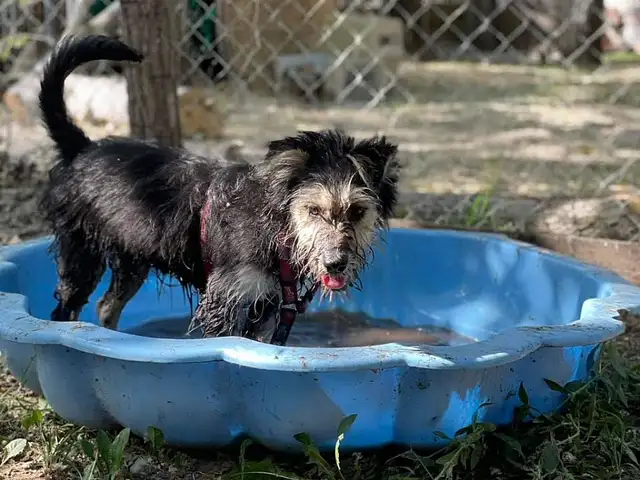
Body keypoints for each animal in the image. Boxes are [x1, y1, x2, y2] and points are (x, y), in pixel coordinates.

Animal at [37, 35, 400, 344]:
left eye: (358, 211)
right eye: (313, 210)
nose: (335, 263)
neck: (274, 225)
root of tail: (83, 148)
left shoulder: (265, 303)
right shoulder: (225, 301)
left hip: (133, 259)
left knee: (107, 306)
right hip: (81, 254)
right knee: (65, 309)